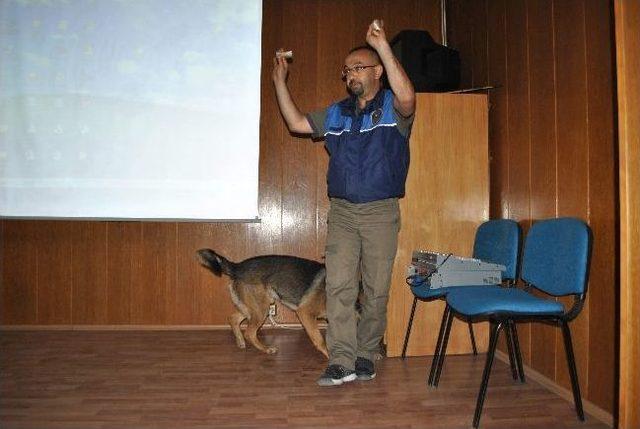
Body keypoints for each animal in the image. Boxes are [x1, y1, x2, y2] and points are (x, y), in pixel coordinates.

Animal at [195, 249, 328, 356]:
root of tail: (238, 266)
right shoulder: (305, 313)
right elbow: (320, 340)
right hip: (261, 310)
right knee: (249, 333)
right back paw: (266, 349)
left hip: (253, 309)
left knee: (233, 319)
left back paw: (240, 342)